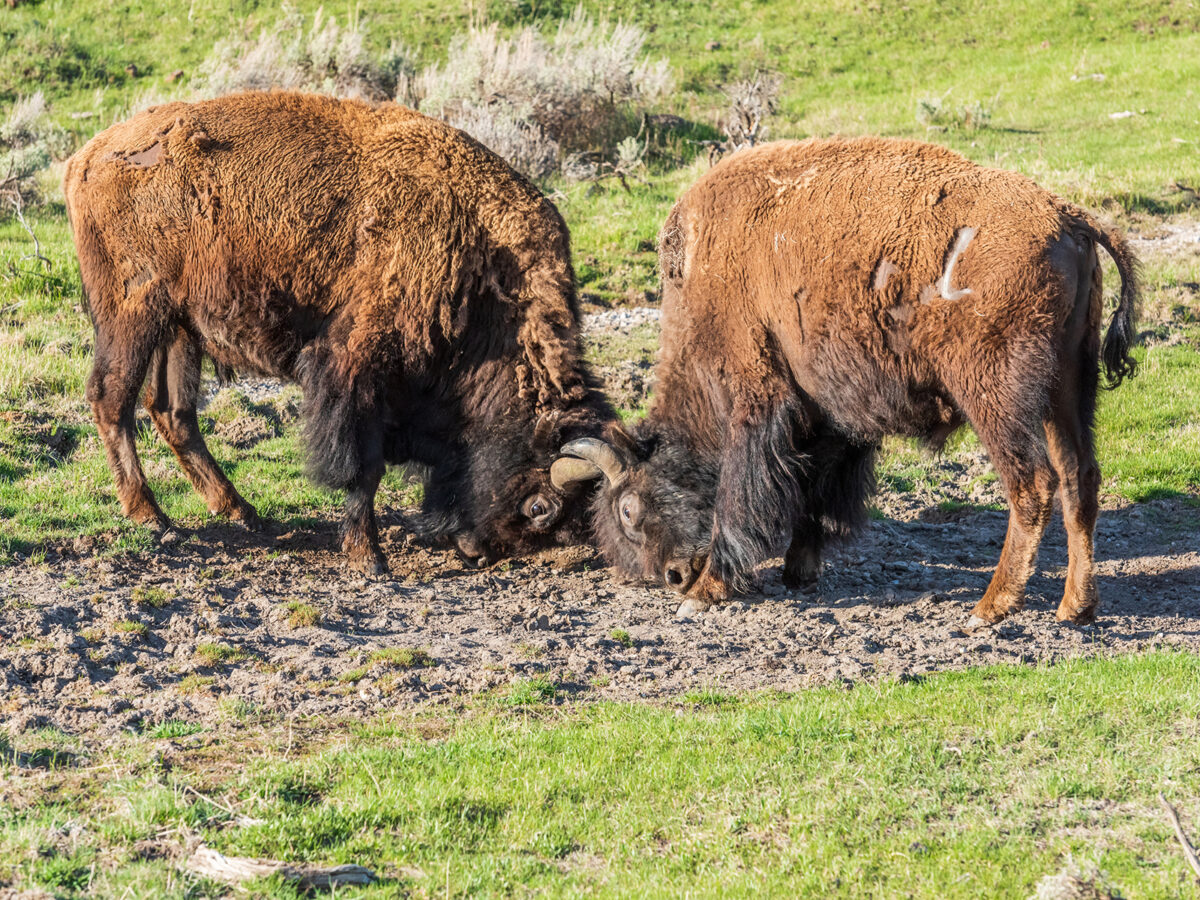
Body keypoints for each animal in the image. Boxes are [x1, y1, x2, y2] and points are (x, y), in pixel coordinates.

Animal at [64, 91, 609, 571]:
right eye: (539, 508)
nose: (477, 551)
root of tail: (86, 159)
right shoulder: (357, 366)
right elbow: (363, 466)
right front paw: (369, 558)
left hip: (180, 328)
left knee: (172, 411)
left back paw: (243, 513)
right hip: (133, 312)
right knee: (111, 397)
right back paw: (152, 517)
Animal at [552, 137, 1132, 628]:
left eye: (628, 509)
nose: (673, 576)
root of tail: (1069, 218)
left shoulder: (756, 396)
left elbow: (742, 495)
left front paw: (707, 592)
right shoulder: (827, 413)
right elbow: (814, 488)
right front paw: (798, 571)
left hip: (995, 396)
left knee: (1032, 485)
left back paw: (989, 608)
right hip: (1068, 389)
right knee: (1080, 478)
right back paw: (1075, 608)